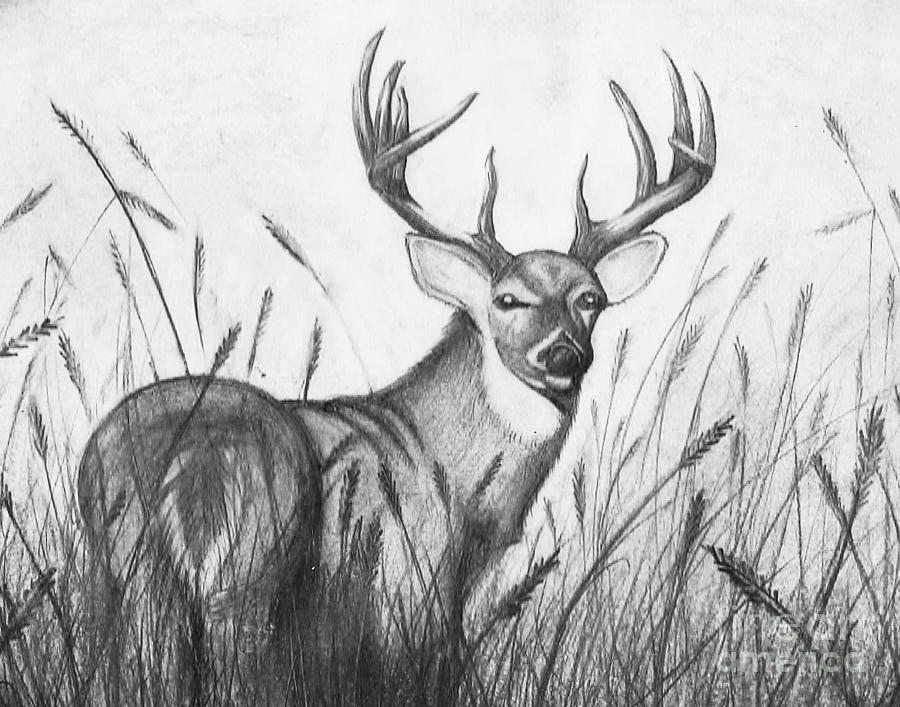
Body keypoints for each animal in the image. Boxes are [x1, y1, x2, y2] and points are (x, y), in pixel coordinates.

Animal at [76, 29, 715, 703]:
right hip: (249, 567)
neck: (456, 482)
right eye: (507, 299)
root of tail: (192, 450)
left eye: (591, 298)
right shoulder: (408, 595)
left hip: (124, 569)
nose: (564, 353)